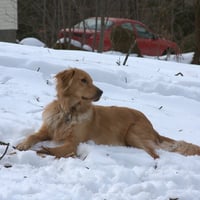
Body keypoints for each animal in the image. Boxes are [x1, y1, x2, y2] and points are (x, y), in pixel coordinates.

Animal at [16, 68, 200, 159]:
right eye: (83, 80)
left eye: (92, 80)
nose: (101, 92)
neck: (69, 111)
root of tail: (153, 127)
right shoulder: (47, 130)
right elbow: (32, 136)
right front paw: (23, 144)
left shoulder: (74, 142)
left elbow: (61, 149)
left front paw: (45, 150)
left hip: (132, 133)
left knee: (155, 154)